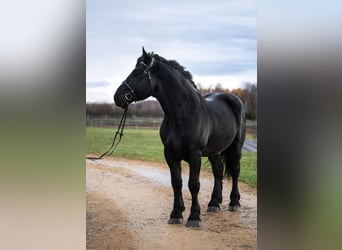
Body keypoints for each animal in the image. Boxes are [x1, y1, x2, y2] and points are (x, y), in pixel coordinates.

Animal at [115, 47, 246, 228]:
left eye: (136, 73)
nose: (117, 97)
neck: (183, 113)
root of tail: (234, 99)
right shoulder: (170, 154)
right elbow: (176, 183)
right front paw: (176, 213)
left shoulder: (195, 155)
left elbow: (194, 185)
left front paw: (194, 217)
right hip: (214, 151)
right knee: (218, 171)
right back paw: (214, 203)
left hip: (236, 147)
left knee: (235, 171)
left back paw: (234, 202)